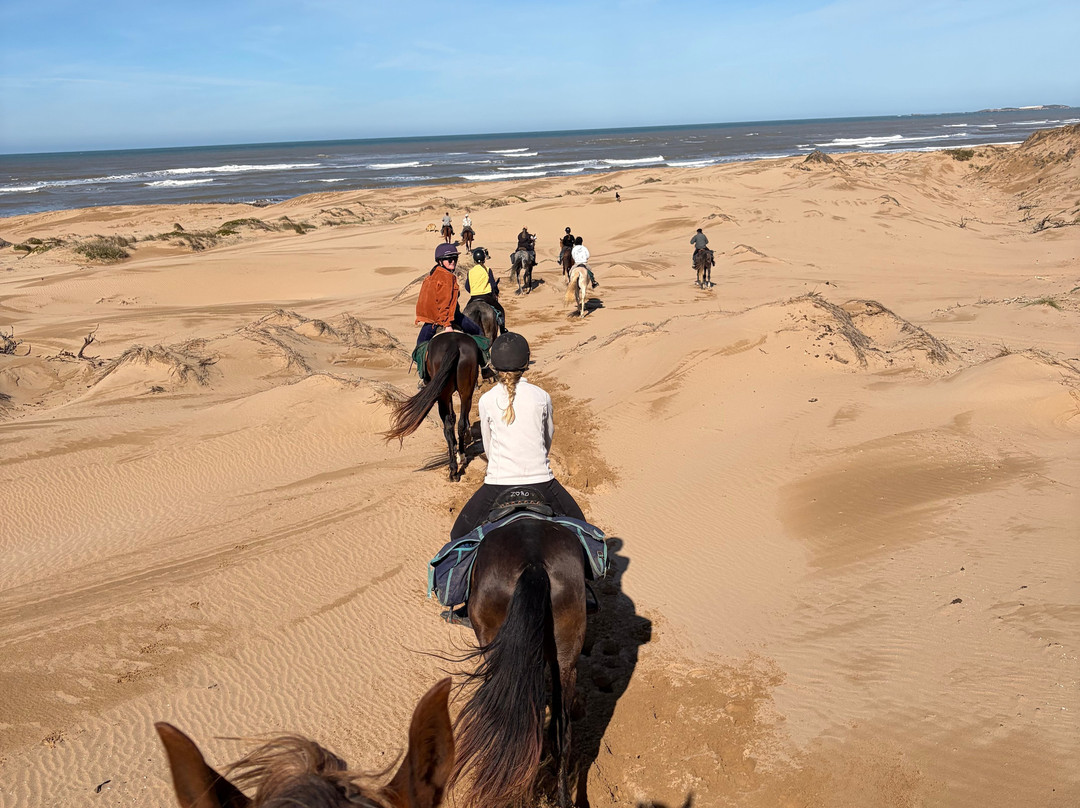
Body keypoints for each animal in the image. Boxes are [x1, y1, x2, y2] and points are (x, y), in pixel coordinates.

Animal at [386, 331, 481, 481]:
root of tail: (454, 344)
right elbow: (456, 418)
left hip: (443, 395)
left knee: (448, 426)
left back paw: (453, 470)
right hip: (466, 392)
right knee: (460, 423)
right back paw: (461, 456)